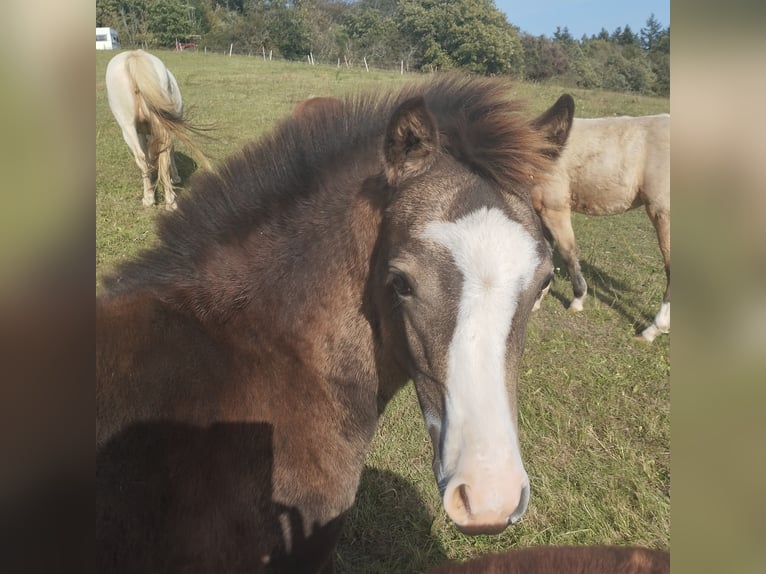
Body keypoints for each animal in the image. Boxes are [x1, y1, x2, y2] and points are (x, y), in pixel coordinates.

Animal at [105, 50, 212, 212]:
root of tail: (133, 56)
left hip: (128, 127)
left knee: (145, 157)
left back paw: (151, 198)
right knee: (157, 155)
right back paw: (166, 200)